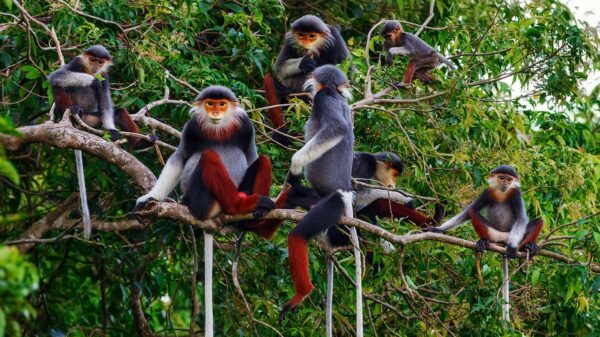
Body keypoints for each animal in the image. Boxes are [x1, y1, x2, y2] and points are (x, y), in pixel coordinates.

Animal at [264, 14, 352, 144]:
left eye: (311, 36)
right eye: (301, 35)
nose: (304, 42)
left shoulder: (336, 36)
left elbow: (349, 74)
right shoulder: (289, 41)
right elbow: (279, 68)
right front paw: (304, 62)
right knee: (270, 79)